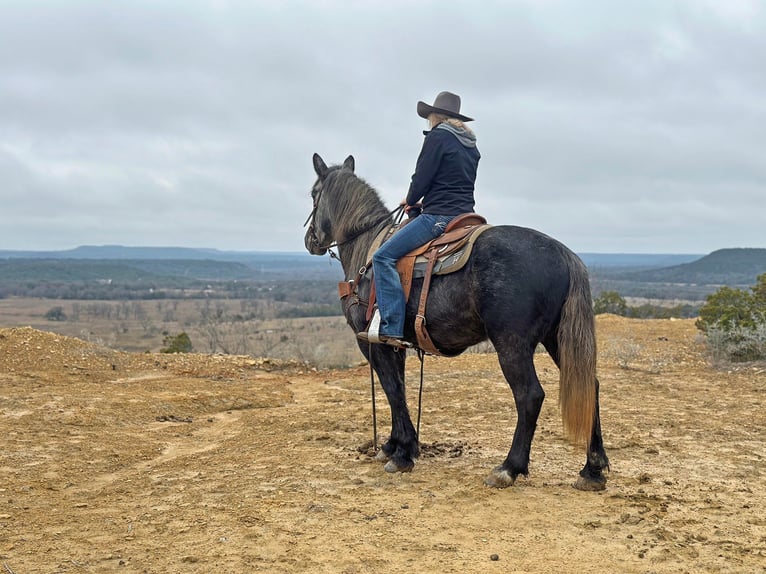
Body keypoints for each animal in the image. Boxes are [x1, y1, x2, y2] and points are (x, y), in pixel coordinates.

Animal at [306, 155, 612, 492]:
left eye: (313, 194)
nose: (310, 240)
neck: (368, 250)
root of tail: (565, 254)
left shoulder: (372, 343)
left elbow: (392, 389)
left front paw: (402, 453)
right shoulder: (394, 345)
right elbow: (398, 389)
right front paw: (395, 444)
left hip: (512, 344)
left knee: (530, 395)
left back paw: (509, 467)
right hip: (556, 339)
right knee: (591, 386)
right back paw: (592, 469)